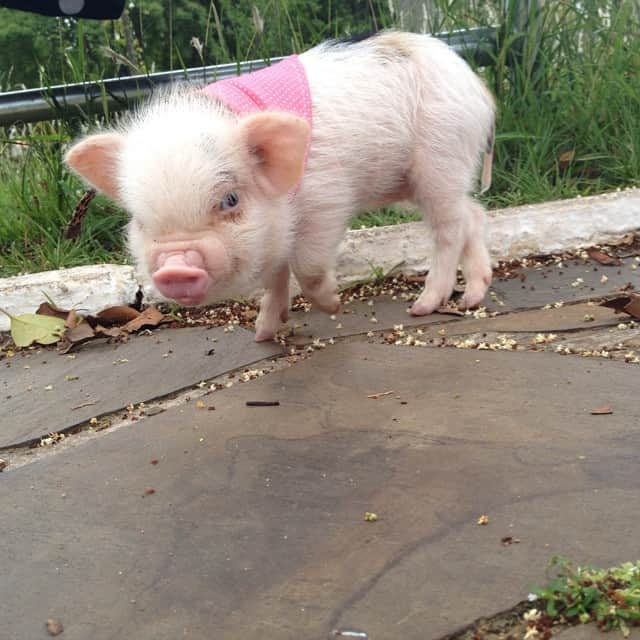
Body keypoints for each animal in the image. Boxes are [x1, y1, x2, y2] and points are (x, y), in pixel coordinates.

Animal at [65, 30, 495, 341]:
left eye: (230, 200)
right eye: (139, 221)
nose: (174, 267)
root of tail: (479, 88)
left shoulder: (327, 197)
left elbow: (307, 266)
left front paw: (334, 306)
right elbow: (274, 273)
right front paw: (263, 334)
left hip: (440, 157)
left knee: (450, 228)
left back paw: (423, 306)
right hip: (417, 179)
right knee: (473, 213)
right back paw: (473, 296)